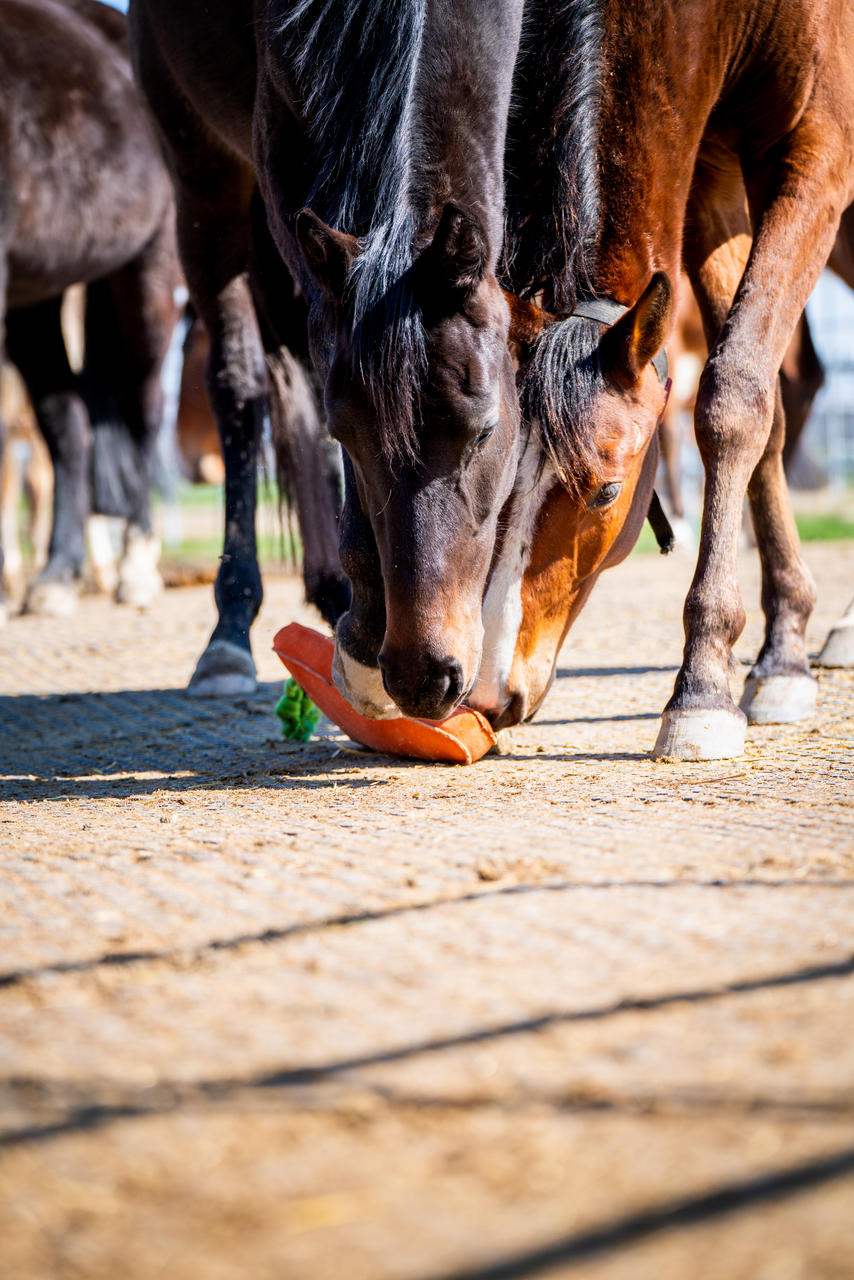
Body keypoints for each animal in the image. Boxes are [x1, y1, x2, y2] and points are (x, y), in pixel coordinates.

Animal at [0, 0, 179, 619]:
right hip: (35, 295)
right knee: (69, 424)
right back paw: (56, 575)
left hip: (148, 272)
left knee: (145, 410)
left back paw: (136, 569)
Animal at [468, 0, 854, 752]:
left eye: (606, 491)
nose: (490, 695)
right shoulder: (708, 168)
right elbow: (765, 407)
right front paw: (782, 650)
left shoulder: (819, 148)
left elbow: (733, 398)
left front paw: (702, 684)